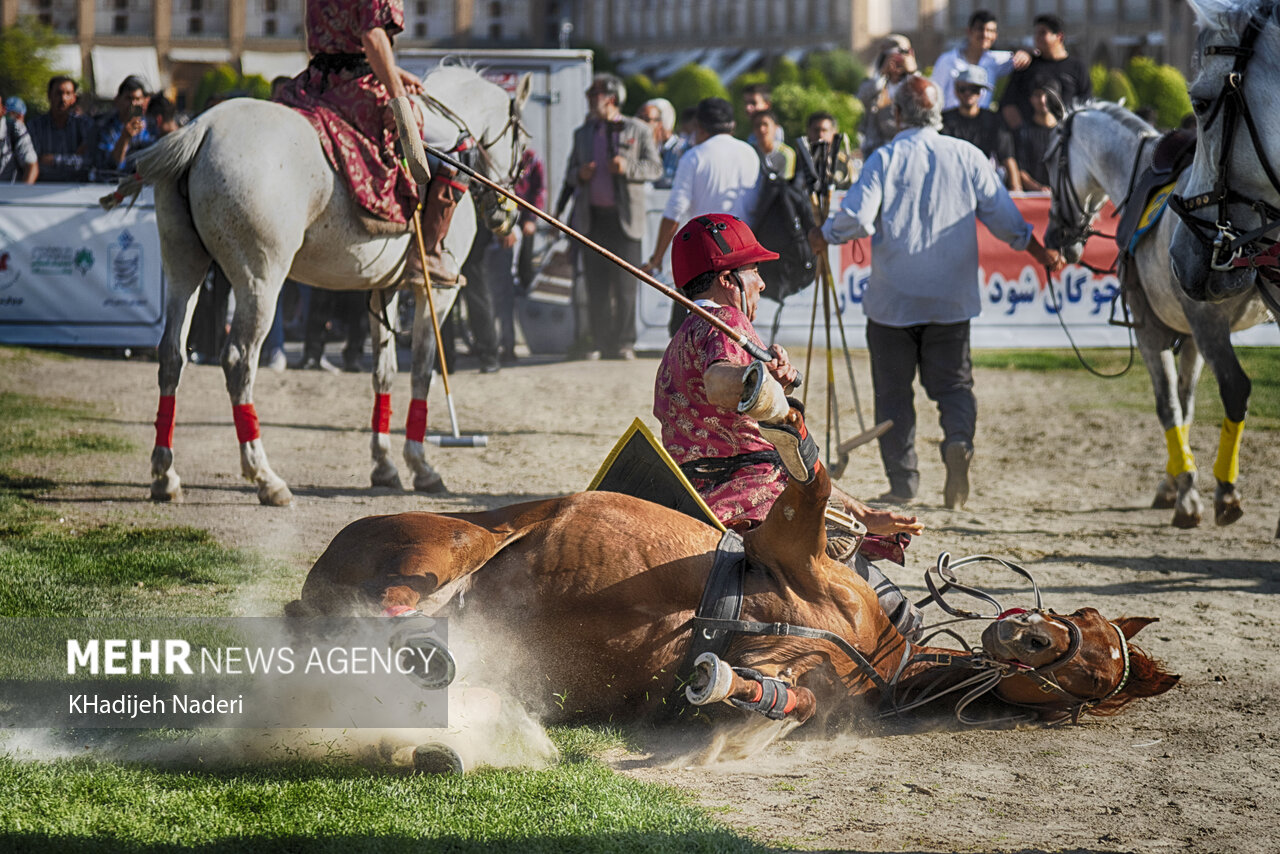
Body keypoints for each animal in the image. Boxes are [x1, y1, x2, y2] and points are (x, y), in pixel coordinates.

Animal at [101, 70, 535, 507]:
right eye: (521, 141)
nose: (505, 216)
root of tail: (202, 127)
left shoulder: (385, 288)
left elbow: (384, 373)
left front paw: (384, 466)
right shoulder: (437, 295)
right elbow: (422, 372)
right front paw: (422, 467)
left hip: (183, 265)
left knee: (172, 354)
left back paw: (165, 475)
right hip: (261, 279)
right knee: (239, 361)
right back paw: (265, 477)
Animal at [290, 460, 1177, 727]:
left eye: (1094, 674)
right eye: (1076, 618)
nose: (1029, 637)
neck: (878, 646)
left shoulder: (794, 670)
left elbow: (757, 690)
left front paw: (722, 679)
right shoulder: (792, 548)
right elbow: (812, 485)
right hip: (453, 544)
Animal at [1049, 100, 1269, 527]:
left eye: (1049, 162)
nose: (1054, 236)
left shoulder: (1154, 328)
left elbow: (1168, 405)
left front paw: (1187, 495)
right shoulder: (1188, 336)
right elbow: (1185, 407)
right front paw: (1175, 481)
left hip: (1209, 322)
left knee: (1235, 389)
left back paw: (1227, 492)